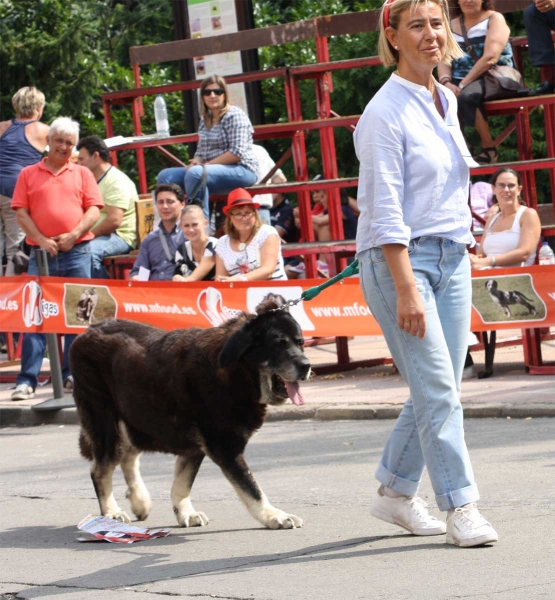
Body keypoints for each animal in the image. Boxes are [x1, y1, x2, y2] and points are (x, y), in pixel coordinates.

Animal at [69, 300, 310, 528]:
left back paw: (140, 501)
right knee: (100, 470)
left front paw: (185, 513)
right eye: (278, 345)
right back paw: (111, 512)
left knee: (128, 457)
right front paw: (274, 516)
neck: (237, 372)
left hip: (137, 419)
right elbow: (252, 489)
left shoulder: (194, 448)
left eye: (300, 343)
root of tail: (87, 331)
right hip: (108, 425)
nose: (306, 365)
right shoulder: (225, 447)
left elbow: (182, 483)